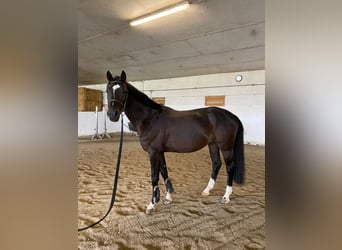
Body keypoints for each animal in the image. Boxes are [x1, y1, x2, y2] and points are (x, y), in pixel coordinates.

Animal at [105, 71, 244, 215]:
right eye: (107, 90)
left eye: (124, 91)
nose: (113, 115)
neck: (150, 119)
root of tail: (232, 116)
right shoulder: (159, 152)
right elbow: (164, 172)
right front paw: (167, 198)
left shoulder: (153, 152)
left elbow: (154, 177)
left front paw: (151, 205)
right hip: (213, 145)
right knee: (216, 164)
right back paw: (207, 190)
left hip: (226, 147)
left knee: (230, 167)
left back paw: (226, 197)